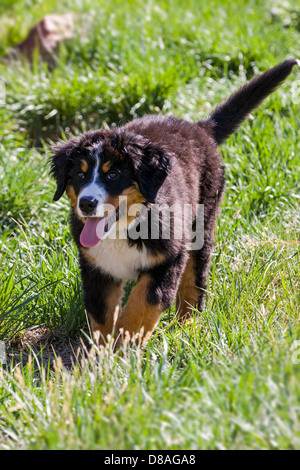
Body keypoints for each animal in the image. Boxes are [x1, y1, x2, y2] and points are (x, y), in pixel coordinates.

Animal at [50, 58, 298, 346]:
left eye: (113, 175)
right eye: (80, 174)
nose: (87, 204)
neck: (125, 228)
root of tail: (199, 128)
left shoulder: (169, 258)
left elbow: (141, 306)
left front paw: (125, 346)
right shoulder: (96, 268)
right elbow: (102, 317)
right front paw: (102, 355)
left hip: (200, 227)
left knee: (194, 283)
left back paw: (187, 328)